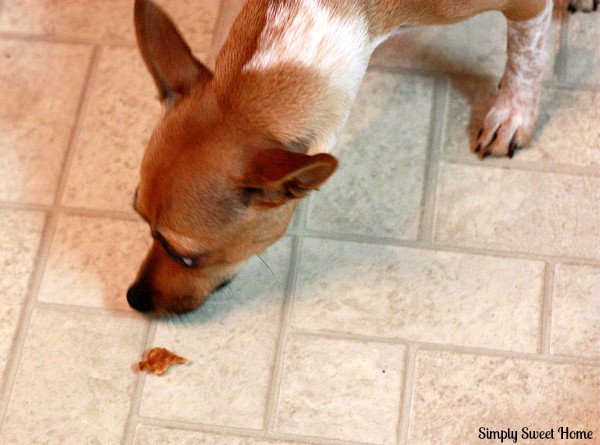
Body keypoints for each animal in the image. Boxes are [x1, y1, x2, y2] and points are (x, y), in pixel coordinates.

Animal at [129, 0, 592, 312]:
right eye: (139, 217)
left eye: (186, 257)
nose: (133, 299)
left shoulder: (525, 7)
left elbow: (527, 58)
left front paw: (513, 112)